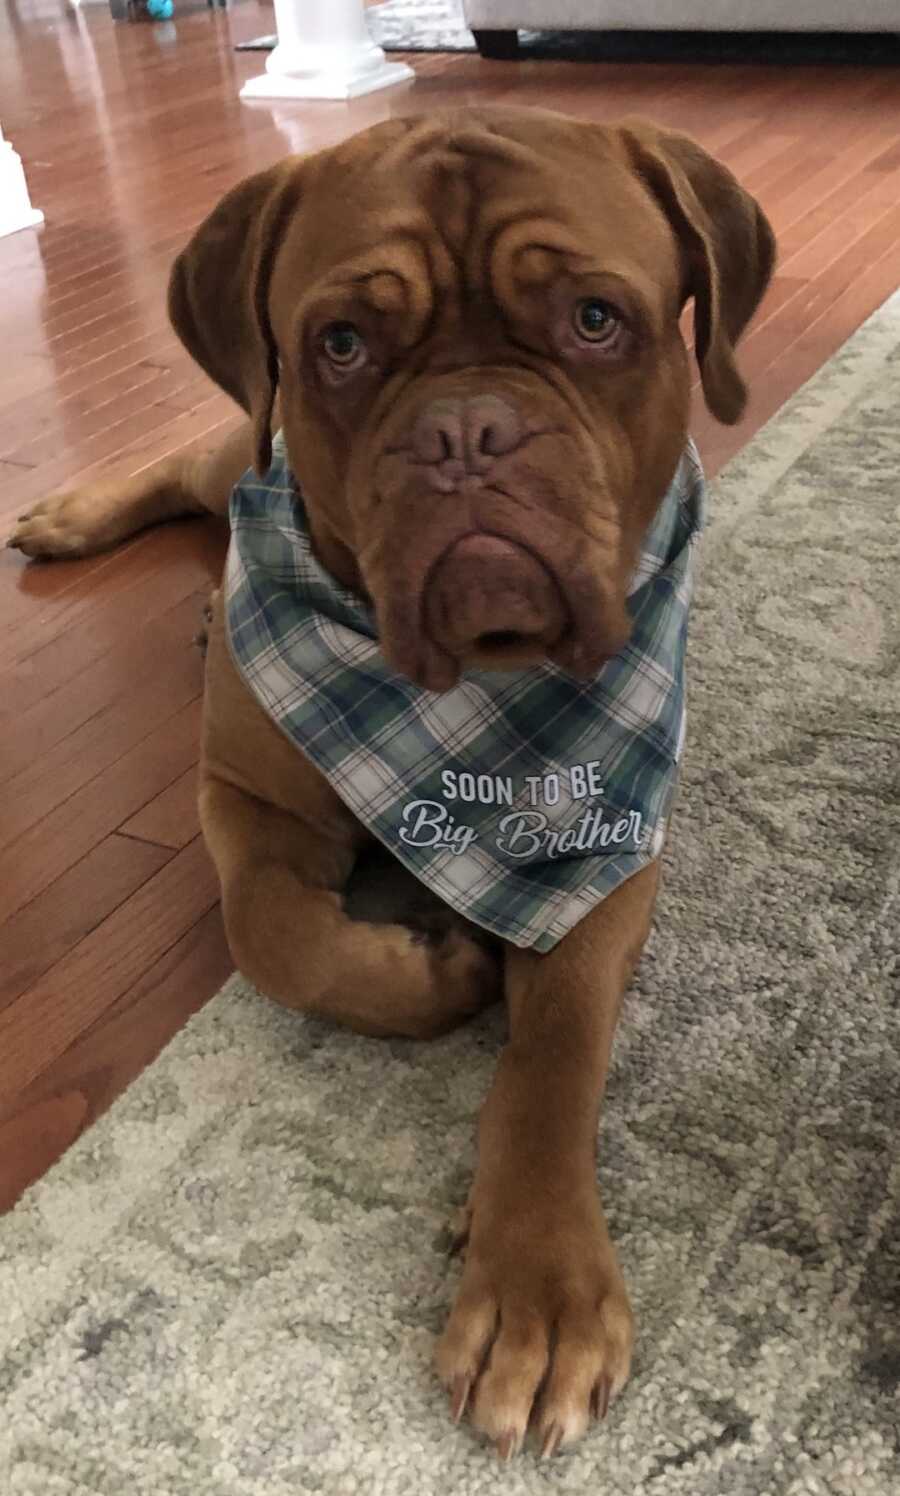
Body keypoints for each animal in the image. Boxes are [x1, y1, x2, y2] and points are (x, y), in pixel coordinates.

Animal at [7, 108, 771, 1460]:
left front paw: (535, 1283)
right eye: (344, 344)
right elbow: (276, 932)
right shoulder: (245, 795)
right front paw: (440, 968)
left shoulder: (602, 853)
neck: (471, 692)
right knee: (188, 462)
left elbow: (552, 1055)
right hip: (230, 453)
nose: (464, 431)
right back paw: (74, 515)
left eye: (596, 319)